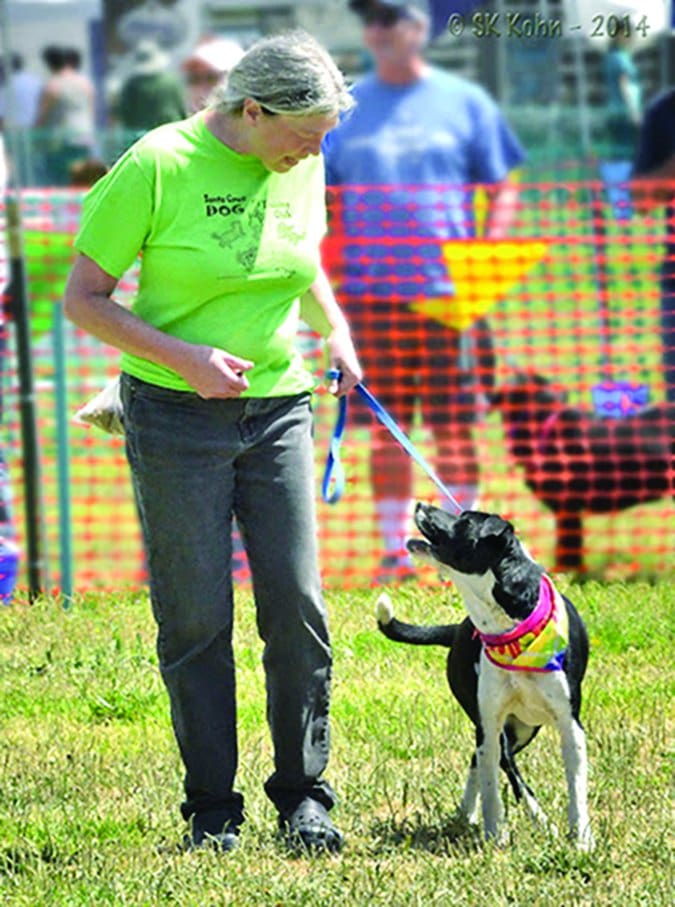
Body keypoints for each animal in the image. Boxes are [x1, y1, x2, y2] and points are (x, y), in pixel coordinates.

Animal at [378, 504, 596, 852]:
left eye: (465, 520)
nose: (421, 505)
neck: (512, 630)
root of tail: (458, 630)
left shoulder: (570, 724)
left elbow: (576, 786)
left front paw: (583, 838)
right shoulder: (491, 722)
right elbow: (493, 786)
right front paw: (496, 834)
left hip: (523, 730)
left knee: (481, 761)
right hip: (496, 726)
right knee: (495, 764)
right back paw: (508, 818)